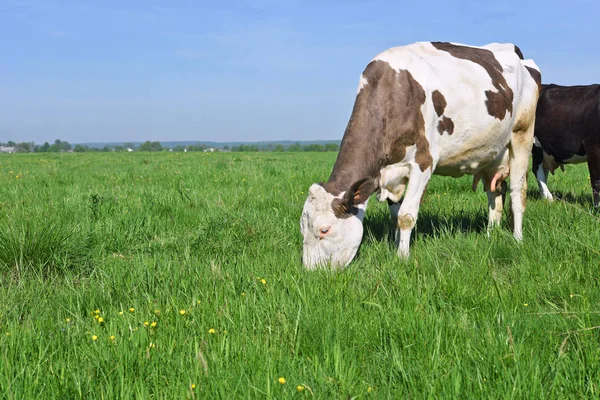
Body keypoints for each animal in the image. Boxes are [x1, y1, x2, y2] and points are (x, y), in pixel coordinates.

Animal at [300, 41, 544, 268]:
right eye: (302, 229)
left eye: (324, 230)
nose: (311, 273)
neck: (394, 92)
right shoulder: (391, 172)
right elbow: (394, 216)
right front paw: (396, 246)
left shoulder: (423, 163)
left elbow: (405, 216)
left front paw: (402, 257)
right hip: (492, 154)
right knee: (495, 195)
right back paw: (490, 236)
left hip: (521, 134)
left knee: (517, 191)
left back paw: (517, 239)